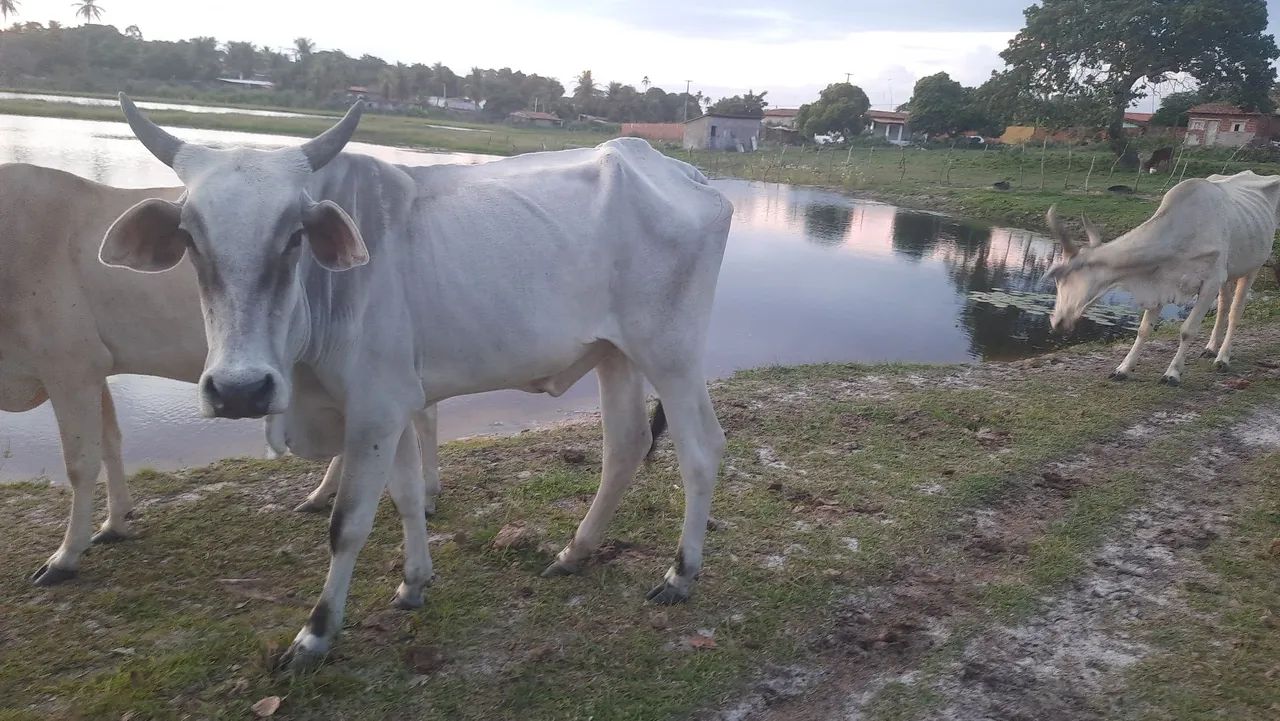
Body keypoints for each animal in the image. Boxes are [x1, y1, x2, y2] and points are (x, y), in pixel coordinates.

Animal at [0, 163, 440, 586]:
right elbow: (111, 443)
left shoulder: (70, 367)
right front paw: (116, 522)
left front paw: (65, 557)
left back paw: (423, 496)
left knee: (422, 419)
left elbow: (80, 463)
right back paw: (326, 495)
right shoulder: (96, 369)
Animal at [103, 95, 732, 669]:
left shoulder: (374, 411)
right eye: (190, 238)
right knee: (625, 445)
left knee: (701, 450)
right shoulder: (396, 405)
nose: (239, 390)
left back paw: (680, 574)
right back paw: (574, 552)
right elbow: (405, 496)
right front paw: (412, 584)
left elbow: (348, 523)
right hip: (615, 355)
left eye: (294, 236)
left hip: (671, 354)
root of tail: (687, 174)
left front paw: (316, 633)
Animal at [1045, 170, 1280, 384]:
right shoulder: (1159, 281)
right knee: (1223, 307)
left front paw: (1172, 373)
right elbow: (1143, 330)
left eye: (1060, 277)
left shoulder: (1210, 283)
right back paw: (1211, 348)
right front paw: (1123, 369)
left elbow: (1187, 330)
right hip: (1229, 273)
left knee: (1234, 312)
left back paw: (1222, 358)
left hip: (1253, 267)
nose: (1057, 322)